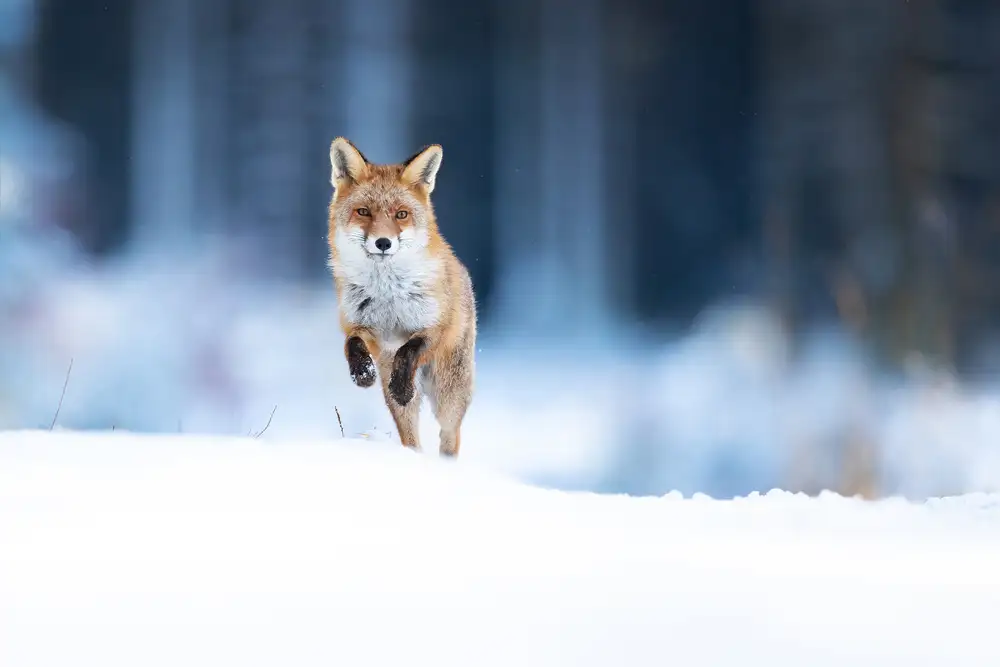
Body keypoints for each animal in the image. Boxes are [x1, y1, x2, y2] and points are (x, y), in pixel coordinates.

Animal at [326, 137, 476, 457]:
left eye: (401, 215)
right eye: (364, 212)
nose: (383, 243)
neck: (388, 294)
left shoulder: (435, 328)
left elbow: (410, 349)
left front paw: (402, 384)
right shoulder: (365, 329)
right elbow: (352, 344)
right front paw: (362, 373)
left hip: (448, 391)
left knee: (450, 434)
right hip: (399, 397)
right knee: (411, 436)